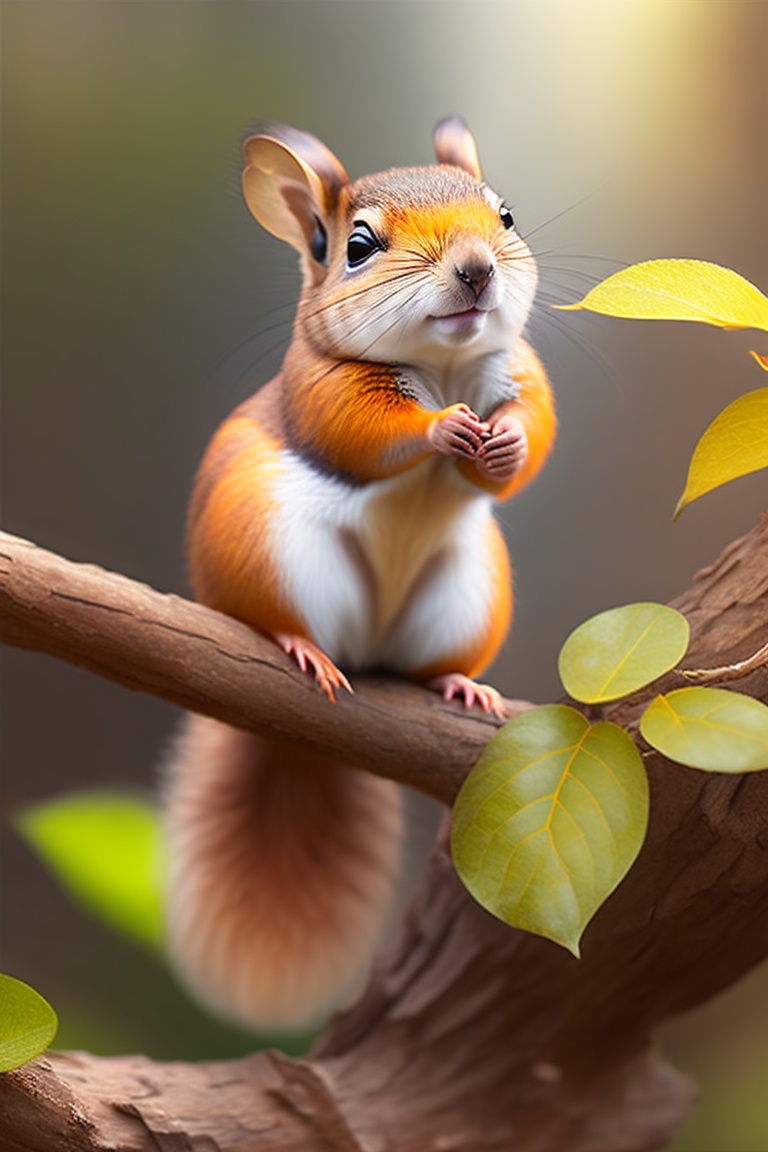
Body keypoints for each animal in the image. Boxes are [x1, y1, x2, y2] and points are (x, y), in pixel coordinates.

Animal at [163, 116, 556, 1032]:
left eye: (505, 215)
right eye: (357, 246)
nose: (476, 269)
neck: (445, 365)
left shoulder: (519, 369)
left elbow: (537, 425)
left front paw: (505, 442)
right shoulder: (322, 390)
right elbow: (369, 433)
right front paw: (441, 429)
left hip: (467, 596)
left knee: (426, 663)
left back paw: (459, 685)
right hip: (269, 546)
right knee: (280, 617)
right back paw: (302, 648)